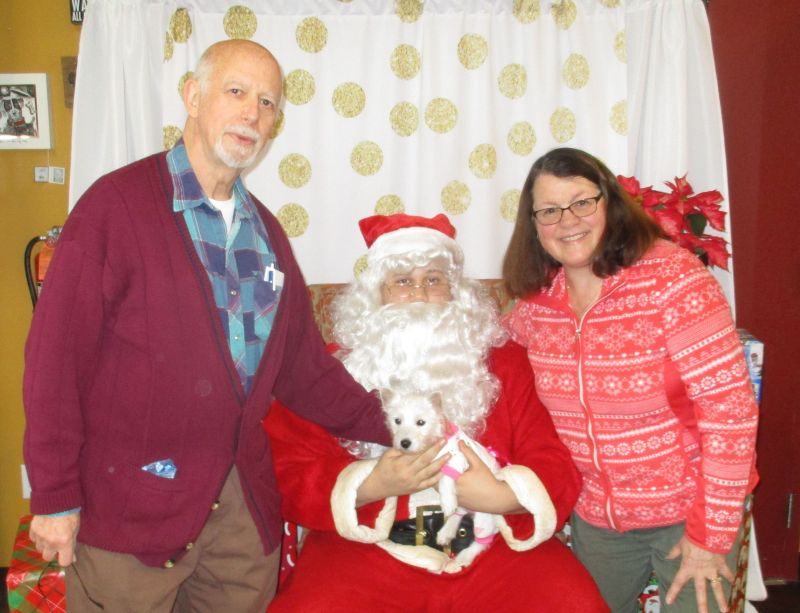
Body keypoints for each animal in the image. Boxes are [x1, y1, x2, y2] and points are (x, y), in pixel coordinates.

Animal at [382, 388, 500, 568]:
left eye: (421, 422)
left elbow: (445, 477)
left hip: (485, 516)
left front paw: (447, 501)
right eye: (397, 421)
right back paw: (446, 531)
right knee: (459, 513)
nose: (404, 443)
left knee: (483, 540)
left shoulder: (457, 459)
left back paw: (465, 556)